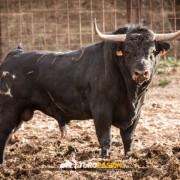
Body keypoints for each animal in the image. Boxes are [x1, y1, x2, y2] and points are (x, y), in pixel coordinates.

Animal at [0, 22, 179, 163]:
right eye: (128, 52)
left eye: (153, 52)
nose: (141, 73)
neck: (130, 94)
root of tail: (13, 54)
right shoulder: (102, 110)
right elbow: (105, 138)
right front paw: (105, 158)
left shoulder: (136, 113)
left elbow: (128, 139)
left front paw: (129, 157)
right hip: (9, 111)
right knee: (4, 133)